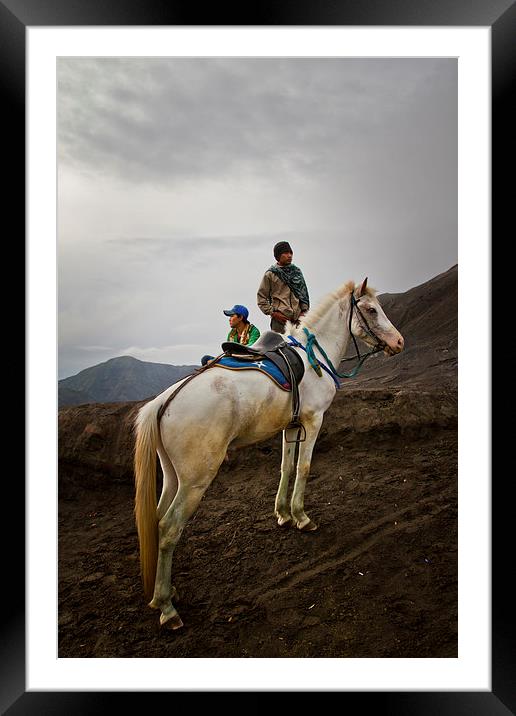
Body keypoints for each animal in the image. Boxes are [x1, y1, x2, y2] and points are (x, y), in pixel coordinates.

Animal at [132, 278, 404, 628]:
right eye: (370, 309)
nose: (399, 341)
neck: (314, 357)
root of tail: (164, 400)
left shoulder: (292, 426)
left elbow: (286, 468)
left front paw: (284, 514)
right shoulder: (314, 420)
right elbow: (303, 468)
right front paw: (302, 517)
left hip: (171, 476)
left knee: (156, 520)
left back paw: (165, 593)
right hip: (195, 481)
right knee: (168, 528)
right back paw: (167, 607)